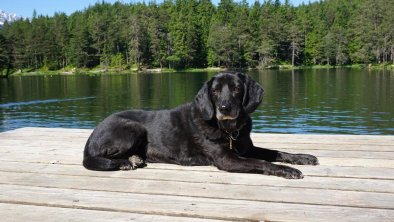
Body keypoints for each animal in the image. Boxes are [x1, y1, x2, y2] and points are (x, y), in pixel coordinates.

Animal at [83, 72, 318, 180]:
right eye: (214, 91)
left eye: (236, 88)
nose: (224, 107)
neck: (229, 129)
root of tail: (92, 135)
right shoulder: (227, 160)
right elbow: (262, 162)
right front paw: (287, 170)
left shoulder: (246, 148)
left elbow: (276, 152)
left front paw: (303, 157)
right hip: (134, 128)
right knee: (98, 157)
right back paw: (125, 162)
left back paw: (134, 159)